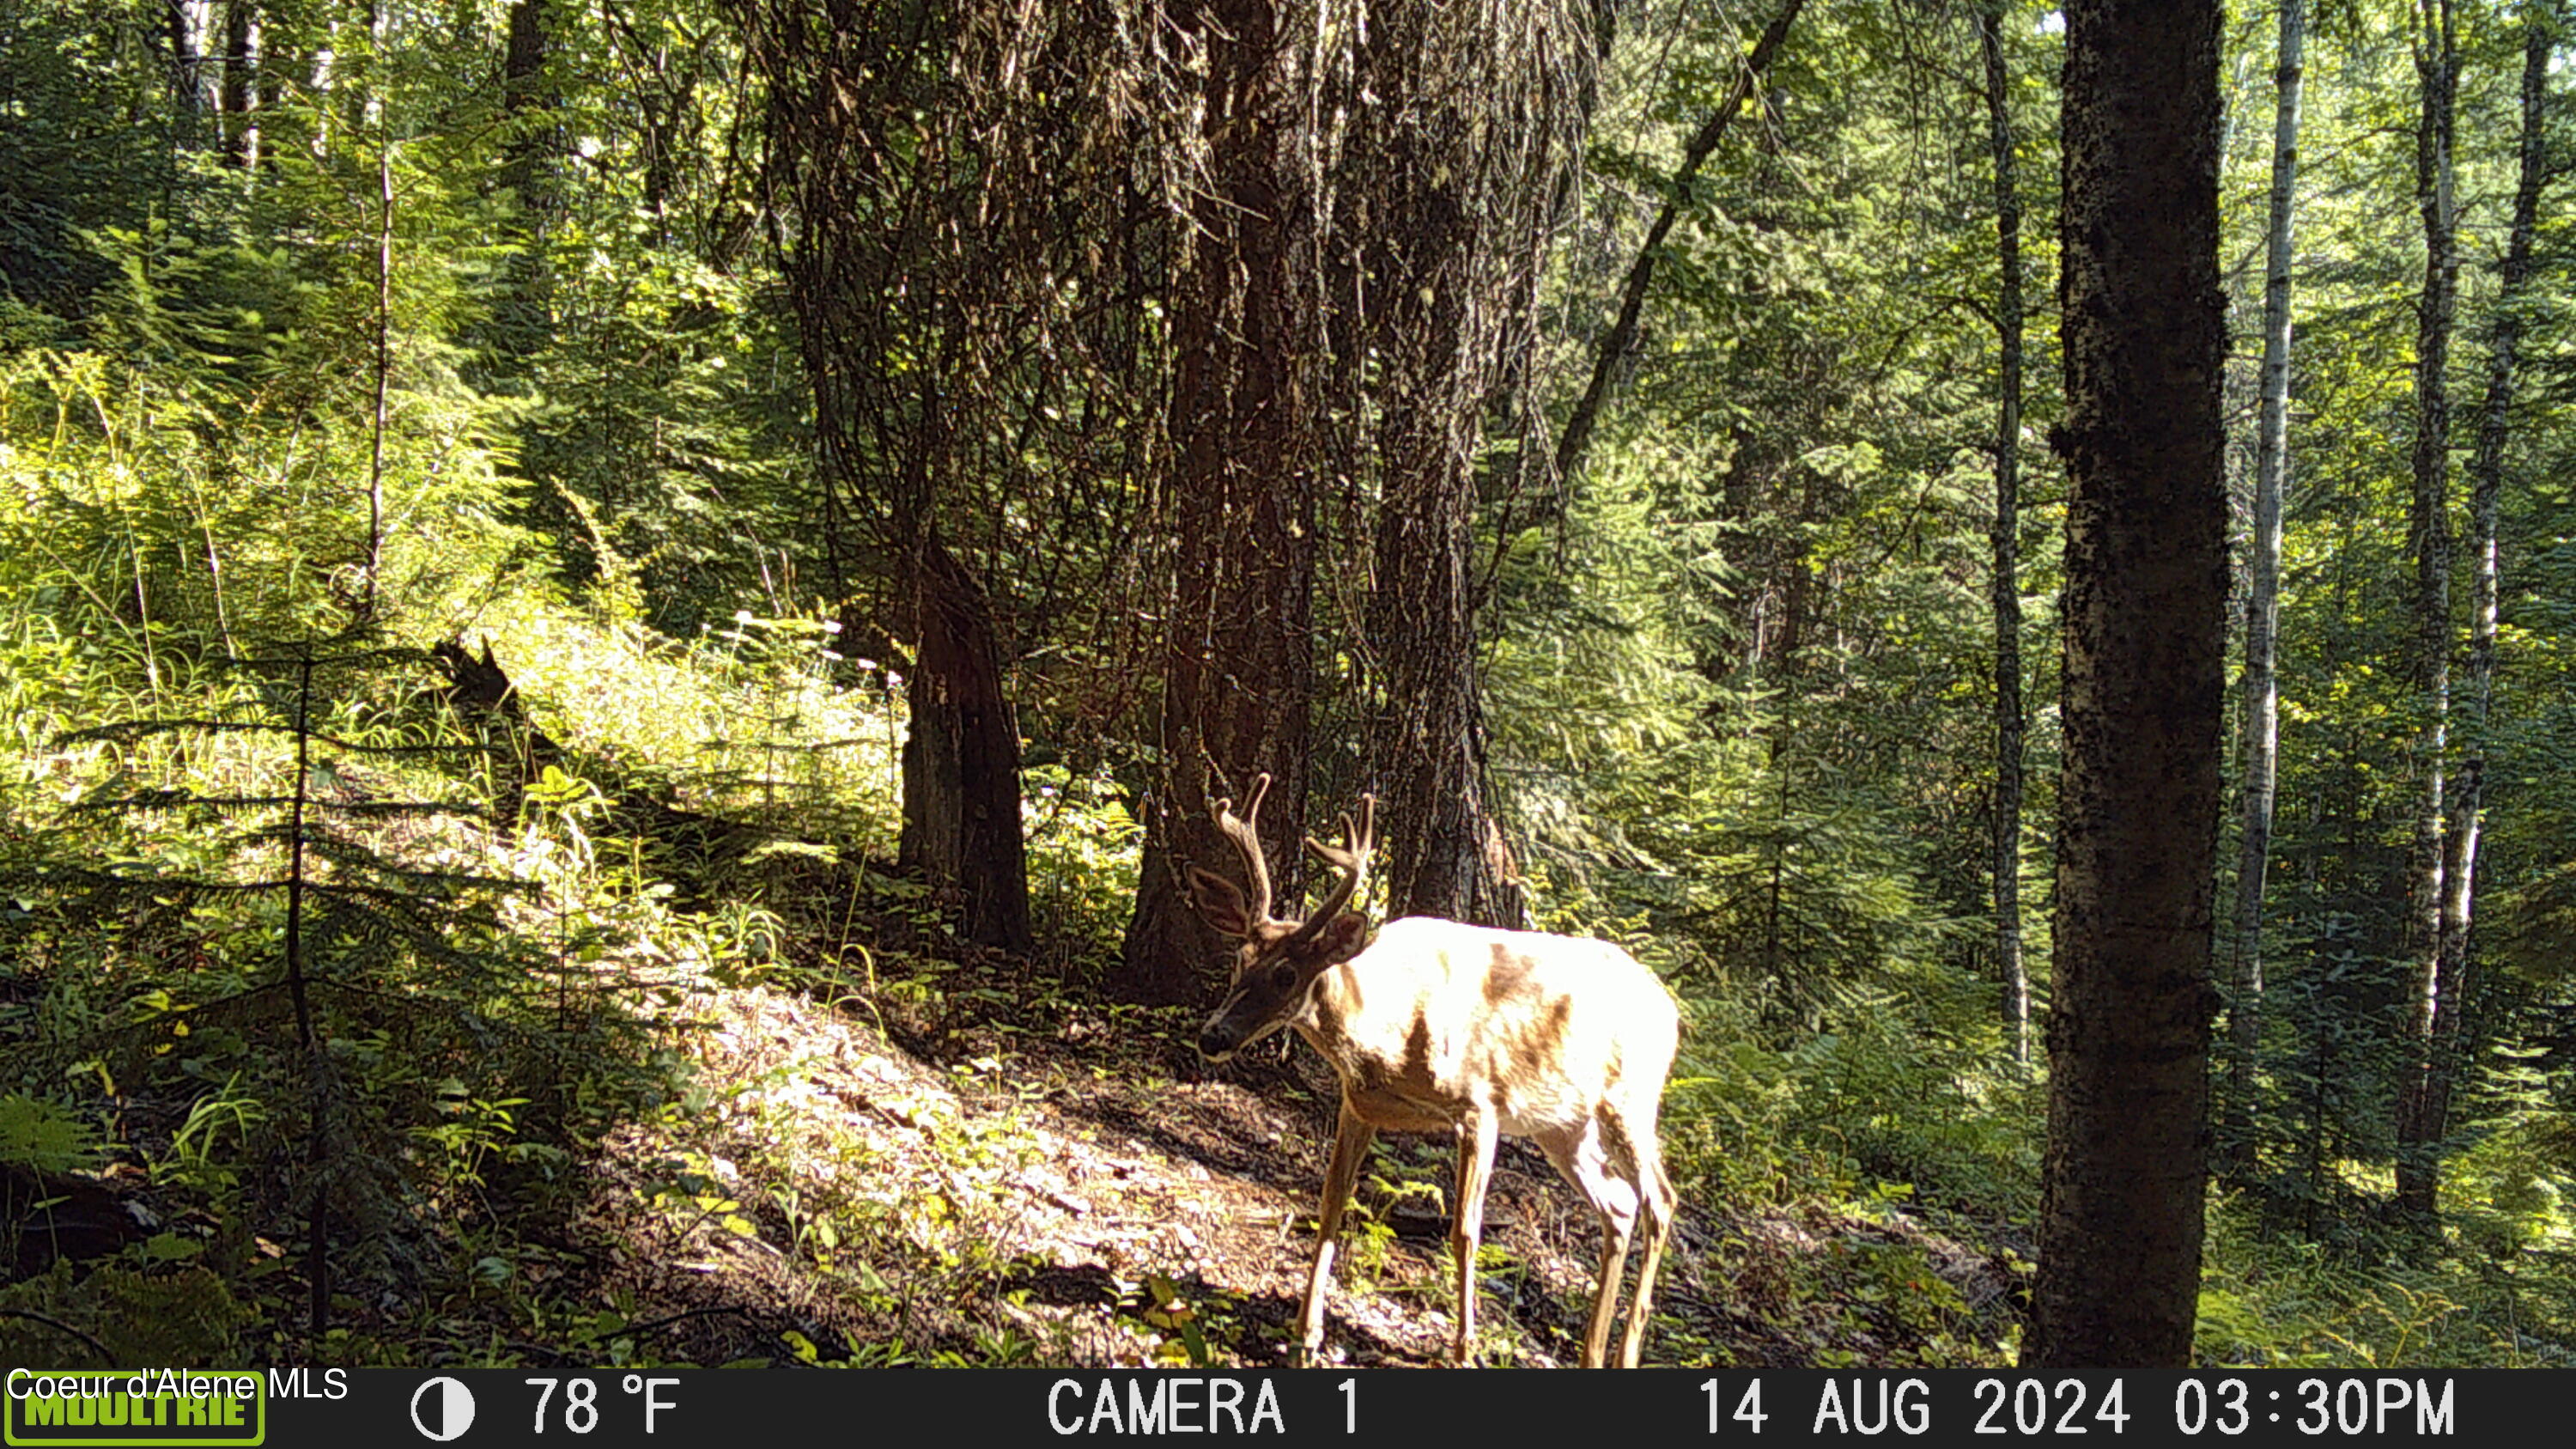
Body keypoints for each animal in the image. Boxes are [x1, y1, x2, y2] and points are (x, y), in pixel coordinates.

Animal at [1180, 773, 1680, 1361]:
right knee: (1620, 1208)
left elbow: (1465, 1231)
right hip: (1562, 1127)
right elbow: (1330, 1204)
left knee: (1660, 1201)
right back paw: (1592, 1353)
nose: (1213, 1036)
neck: (1389, 1032)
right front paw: (1306, 1336)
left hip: (1629, 1101)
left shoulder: (1480, 1106)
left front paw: (1465, 1349)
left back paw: (1625, 1351)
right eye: (1239, 959)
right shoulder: (1358, 1105)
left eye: (1286, 974)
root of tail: (1670, 1008)